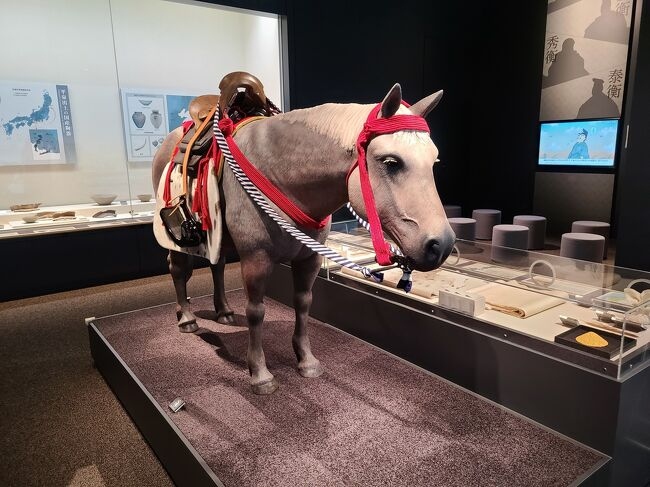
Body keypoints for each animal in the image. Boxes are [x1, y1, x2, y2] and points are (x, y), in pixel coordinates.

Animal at [152, 83, 455, 394]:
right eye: (392, 162)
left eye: (434, 160)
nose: (441, 245)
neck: (282, 175)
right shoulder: (256, 260)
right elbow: (256, 311)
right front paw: (259, 372)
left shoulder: (309, 258)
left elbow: (303, 302)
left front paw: (306, 360)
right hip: (179, 239)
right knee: (178, 270)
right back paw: (187, 318)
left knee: (218, 266)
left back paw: (223, 311)